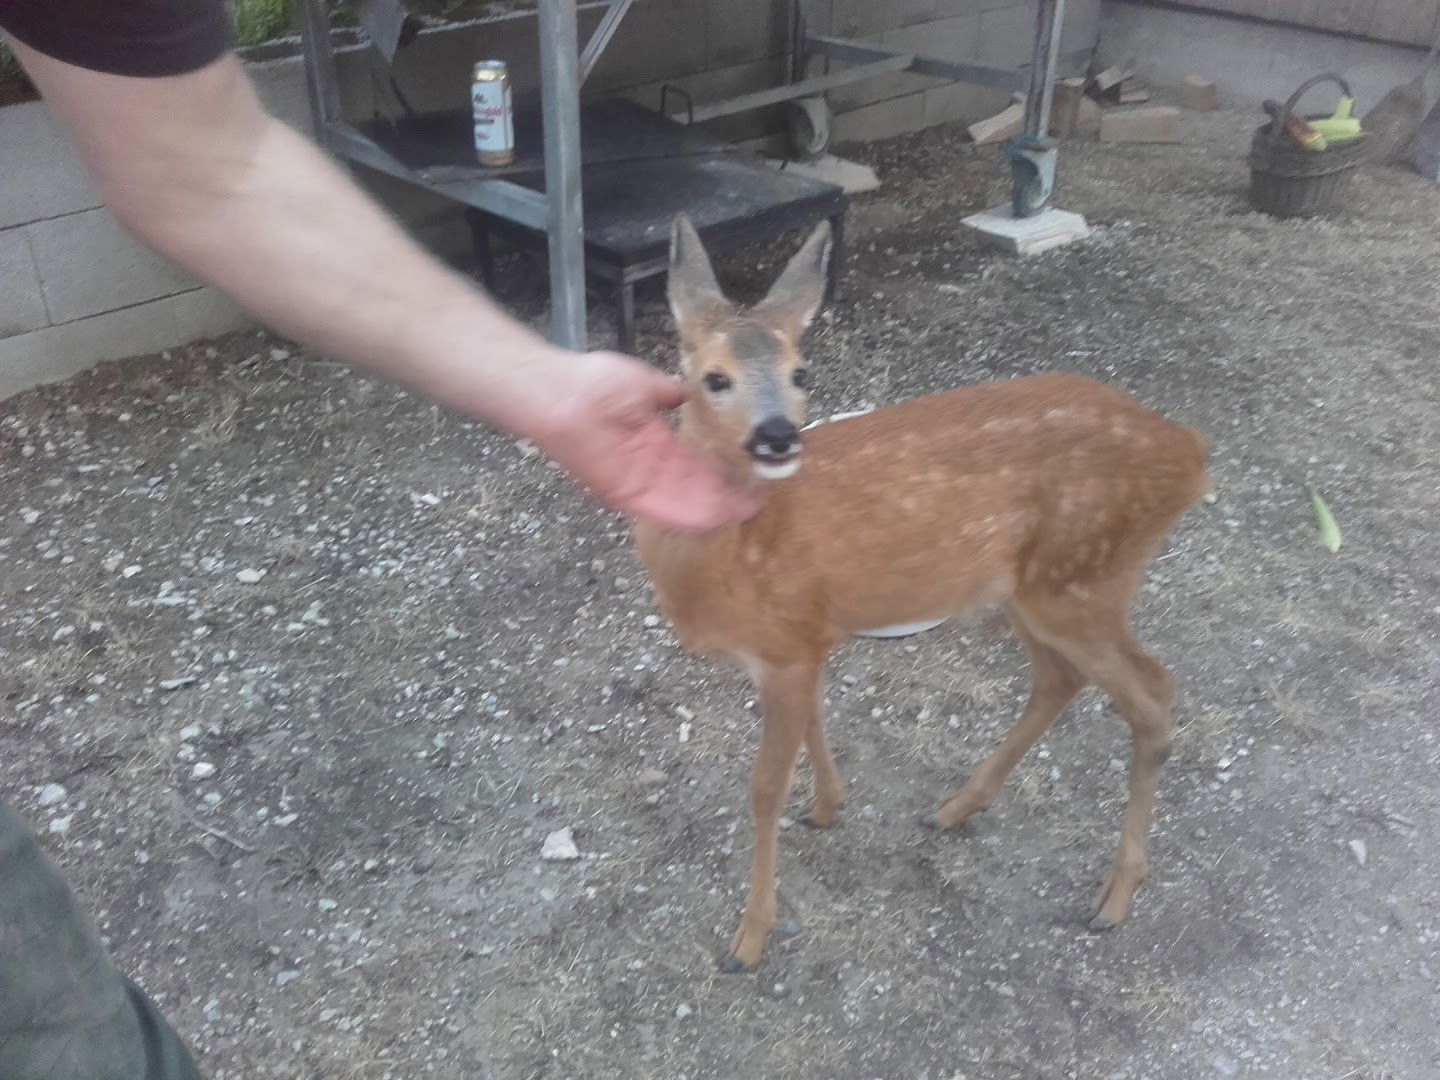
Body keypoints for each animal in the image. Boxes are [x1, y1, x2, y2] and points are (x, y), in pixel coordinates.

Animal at [636, 216, 1209, 979]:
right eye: (714, 378)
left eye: (800, 372)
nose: (778, 435)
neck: (725, 558)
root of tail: (1192, 452)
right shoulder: (807, 637)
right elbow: (816, 723)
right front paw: (828, 807)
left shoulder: (786, 644)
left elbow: (762, 787)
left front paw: (749, 938)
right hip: (1033, 589)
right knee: (1062, 678)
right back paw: (956, 808)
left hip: (1084, 577)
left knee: (1153, 690)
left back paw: (1113, 898)